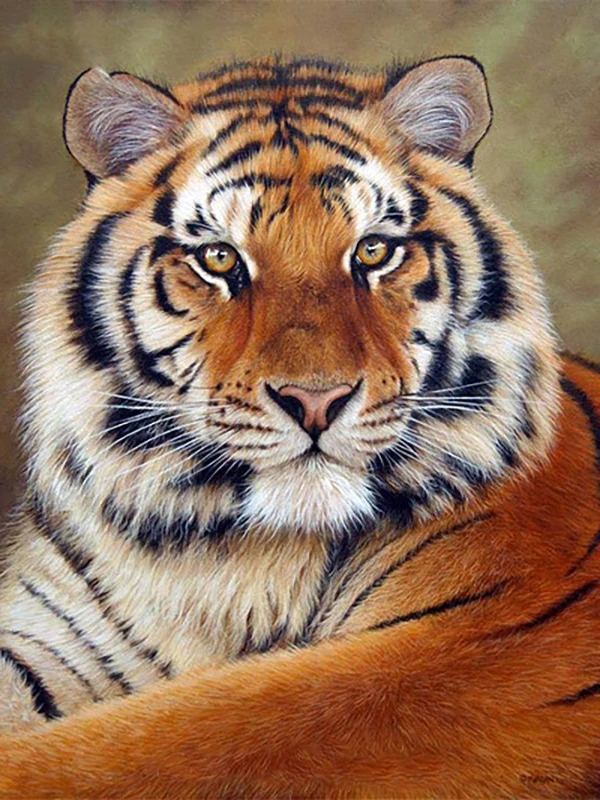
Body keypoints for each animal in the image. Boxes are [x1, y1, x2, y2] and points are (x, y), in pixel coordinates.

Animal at [0, 53, 598, 798]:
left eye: (373, 252)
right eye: (219, 258)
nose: (316, 401)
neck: (222, 557)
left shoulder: (469, 648)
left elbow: (159, 743)